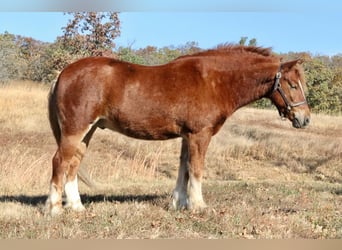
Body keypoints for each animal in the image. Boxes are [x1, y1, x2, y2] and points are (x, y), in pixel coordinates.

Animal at [44, 44, 310, 215]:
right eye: (292, 85)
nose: (304, 119)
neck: (213, 81)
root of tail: (63, 73)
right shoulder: (200, 135)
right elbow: (196, 169)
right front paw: (198, 206)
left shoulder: (187, 136)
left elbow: (183, 169)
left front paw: (178, 203)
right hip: (75, 130)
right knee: (59, 161)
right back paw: (55, 209)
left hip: (87, 132)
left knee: (73, 163)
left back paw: (76, 207)